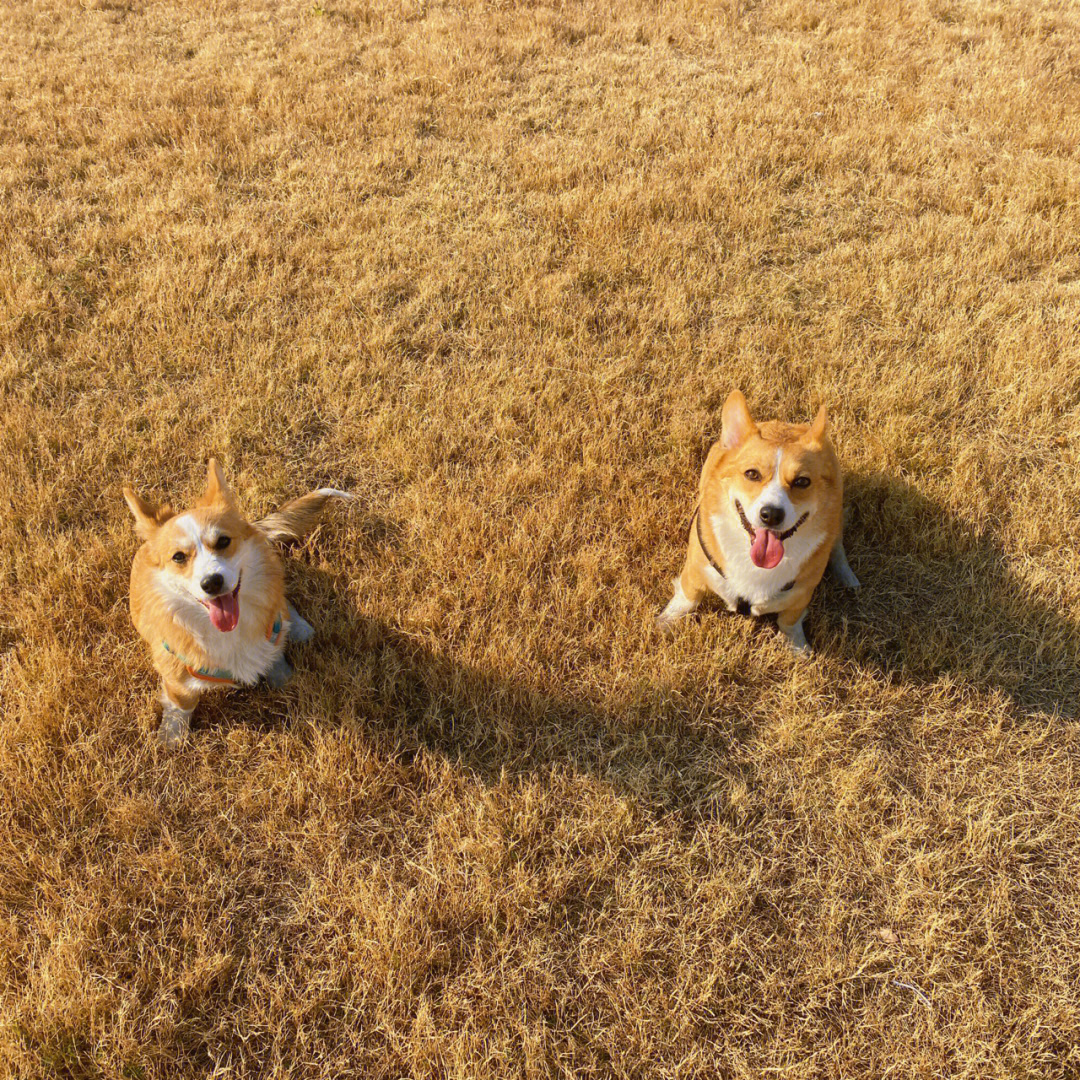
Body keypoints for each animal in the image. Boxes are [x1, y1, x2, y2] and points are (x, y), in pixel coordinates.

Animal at [125, 460, 349, 747]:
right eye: (178, 557)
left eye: (223, 541)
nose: (211, 583)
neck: (229, 631)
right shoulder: (175, 673)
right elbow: (181, 703)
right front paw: (172, 736)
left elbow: (275, 656)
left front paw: (282, 677)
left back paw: (299, 627)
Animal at [656, 393, 859, 652]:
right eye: (752, 474)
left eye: (802, 481)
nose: (771, 514)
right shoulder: (695, 571)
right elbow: (687, 599)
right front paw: (665, 622)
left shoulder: (802, 594)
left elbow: (790, 621)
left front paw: (797, 648)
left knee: (837, 545)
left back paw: (847, 576)